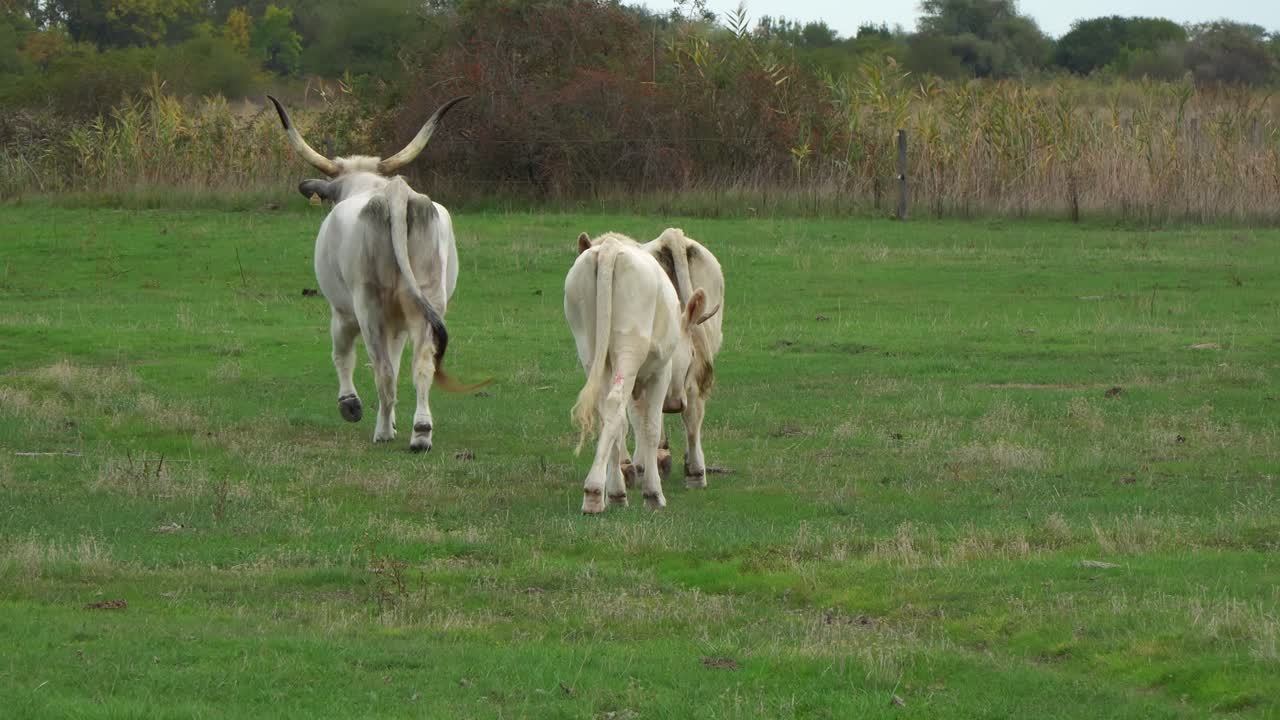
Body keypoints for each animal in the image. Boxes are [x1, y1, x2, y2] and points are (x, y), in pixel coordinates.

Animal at [267, 95, 484, 452]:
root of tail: (396, 195)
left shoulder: (341, 311)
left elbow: (342, 354)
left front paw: (350, 405)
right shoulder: (398, 324)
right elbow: (397, 363)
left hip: (368, 306)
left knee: (381, 369)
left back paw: (381, 432)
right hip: (428, 302)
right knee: (420, 366)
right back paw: (420, 433)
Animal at [565, 232, 718, 514]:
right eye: (690, 354)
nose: (674, 403)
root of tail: (610, 249)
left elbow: (628, 423)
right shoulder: (660, 372)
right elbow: (650, 426)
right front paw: (653, 493)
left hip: (590, 349)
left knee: (607, 411)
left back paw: (612, 491)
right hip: (630, 349)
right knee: (621, 405)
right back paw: (594, 492)